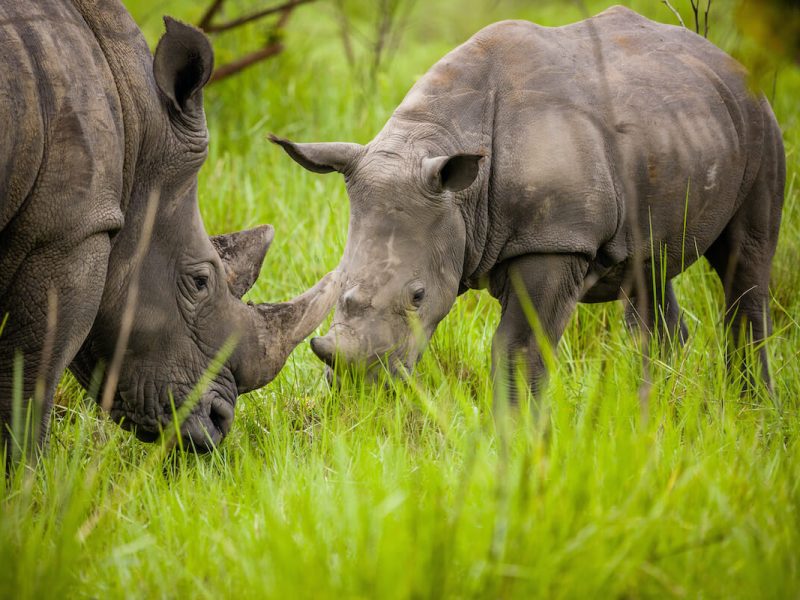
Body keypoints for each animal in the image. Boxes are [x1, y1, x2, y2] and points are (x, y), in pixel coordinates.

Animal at [0, 1, 341, 455]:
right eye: (199, 282)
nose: (218, 422)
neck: (136, 126)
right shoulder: (69, 231)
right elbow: (27, 382)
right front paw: (22, 471)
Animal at [271, 6, 785, 399]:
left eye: (418, 296)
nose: (358, 385)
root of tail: (725, 59)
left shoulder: (556, 240)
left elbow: (517, 349)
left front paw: (518, 439)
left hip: (761, 123)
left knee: (745, 265)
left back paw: (751, 407)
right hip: (678, 124)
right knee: (649, 269)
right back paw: (655, 411)